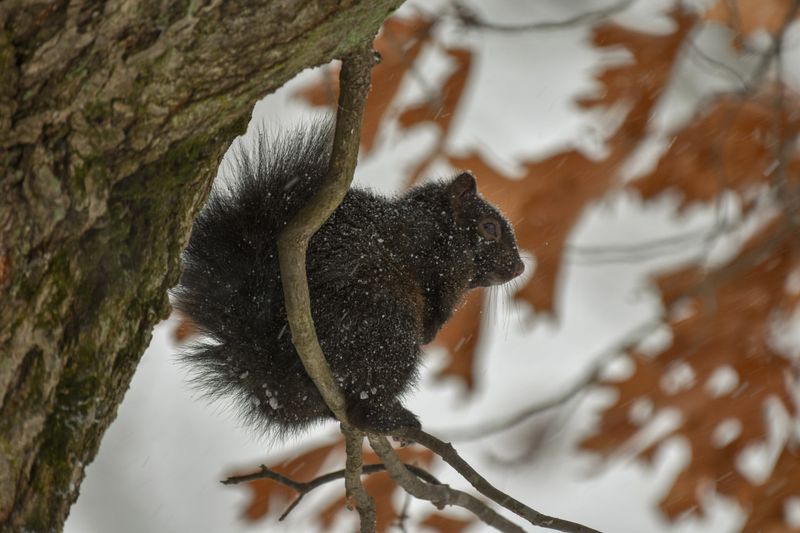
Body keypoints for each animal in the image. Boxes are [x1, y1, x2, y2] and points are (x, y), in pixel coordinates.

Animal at [171, 120, 524, 437]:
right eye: (489, 228)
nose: (520, 268)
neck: (439, 230)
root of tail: (276, 367)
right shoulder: (433, 264)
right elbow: (434, 300)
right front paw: (431, 330)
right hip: (387, 326)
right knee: (363, 405)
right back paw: (393, 418)